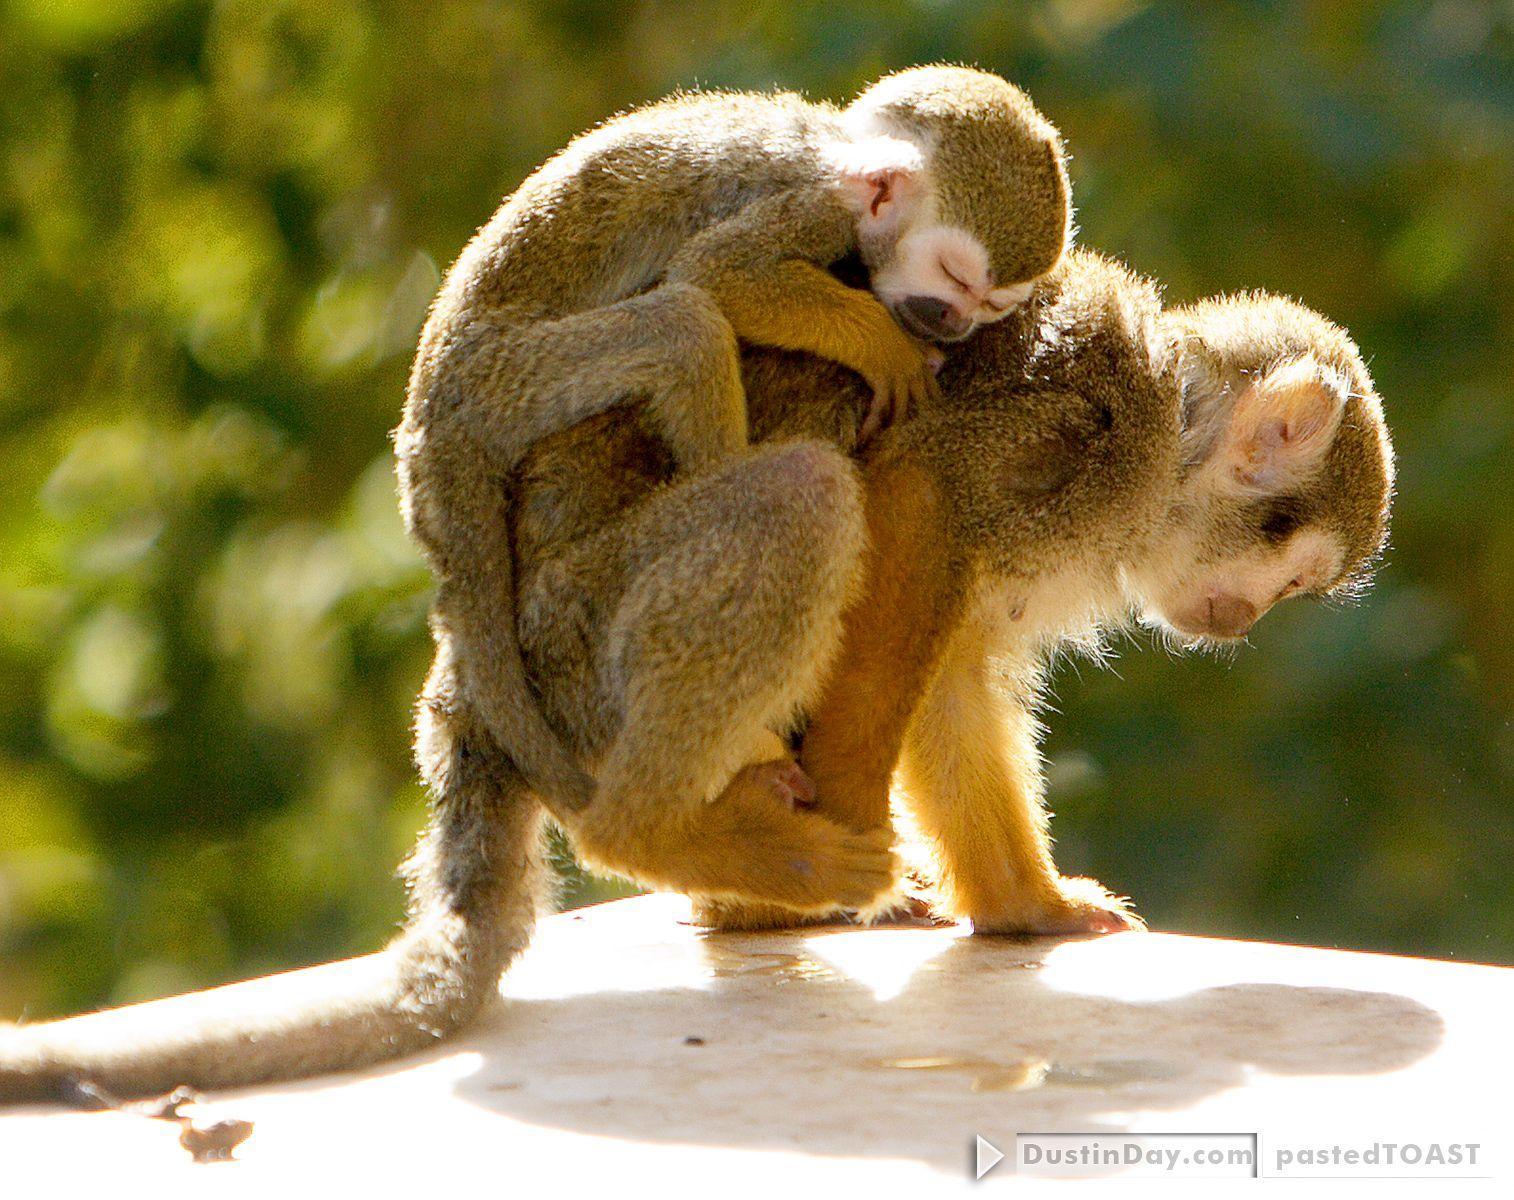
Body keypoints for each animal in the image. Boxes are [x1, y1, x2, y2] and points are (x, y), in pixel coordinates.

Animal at [0, 249, 1394, 1101]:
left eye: (1288, 589)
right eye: (1283, 553)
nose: (1237, 620)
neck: (1163, 437)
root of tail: (474, 687)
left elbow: (951, 673)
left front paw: (1020, 907)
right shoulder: (1073, 422)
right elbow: (909, 500)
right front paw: (856, 825)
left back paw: (749, 893)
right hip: (583, 642)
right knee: (806, 499)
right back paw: (689, 844)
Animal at [395, 64, 1072, 827]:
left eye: (993, 306)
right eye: (956, 279)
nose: (953, 324)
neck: (840, 148)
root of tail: (427, 421)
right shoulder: (816, 205)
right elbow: (722, 271)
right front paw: (881, 344)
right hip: (502, 383)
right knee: (684, 323)